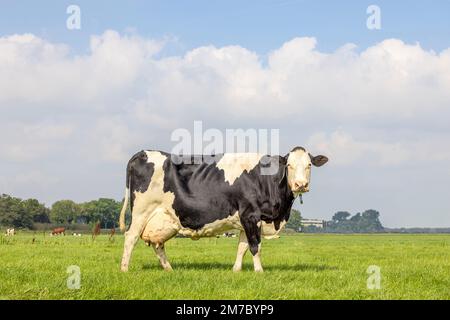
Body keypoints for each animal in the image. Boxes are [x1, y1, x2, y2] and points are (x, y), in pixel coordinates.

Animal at [118, 146, 326, 272]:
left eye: (309, 165)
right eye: (289, 165)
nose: (301, 184)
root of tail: (143, 152)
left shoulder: (245, 221)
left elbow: (242, 246)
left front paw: (236, 270)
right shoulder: (251, 215)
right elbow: (255, 245)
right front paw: (259, 271)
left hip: (162, 218)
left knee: (158, 244)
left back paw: (169, 269)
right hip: (141, 213)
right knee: (130, 237)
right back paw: (124, 269)